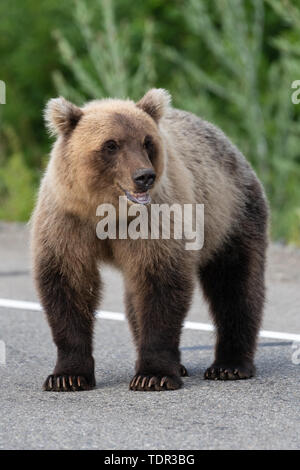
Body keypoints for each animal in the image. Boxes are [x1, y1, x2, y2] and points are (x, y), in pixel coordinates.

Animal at [30, 90, 268, 392]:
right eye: (111, 145)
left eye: (147, 142)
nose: (144, 176)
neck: (109, 212)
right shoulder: (68, 219)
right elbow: (69, 282)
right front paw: (67, 376)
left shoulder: (155, 219)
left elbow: (159, 284)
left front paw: (153, 375)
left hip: (230, 214)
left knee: (235, 284)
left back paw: (229, 366)